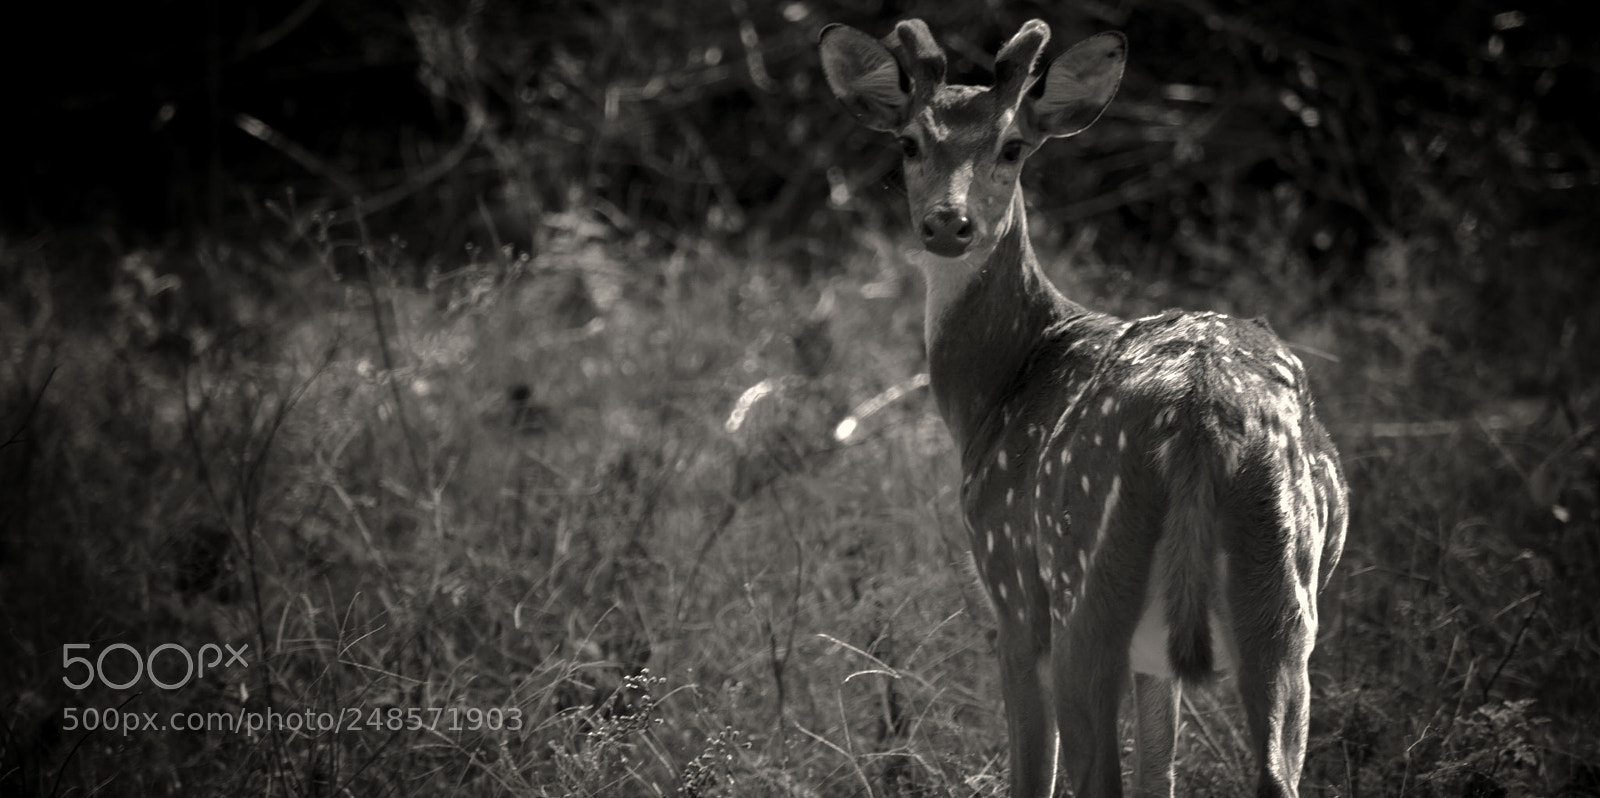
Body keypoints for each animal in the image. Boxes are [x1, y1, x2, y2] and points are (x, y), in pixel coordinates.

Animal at [818, 18, 1348, 798]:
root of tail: (1201, 417)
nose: (948, 224)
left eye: (1011, 145)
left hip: (1082, 587)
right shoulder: (1156, 660)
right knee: (1275, 771)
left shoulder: (1010, 589)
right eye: (910, 142)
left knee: (1097, 772)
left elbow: (1032, 771)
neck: (998, 384)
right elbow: (1160, 770)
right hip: (1283, 595)